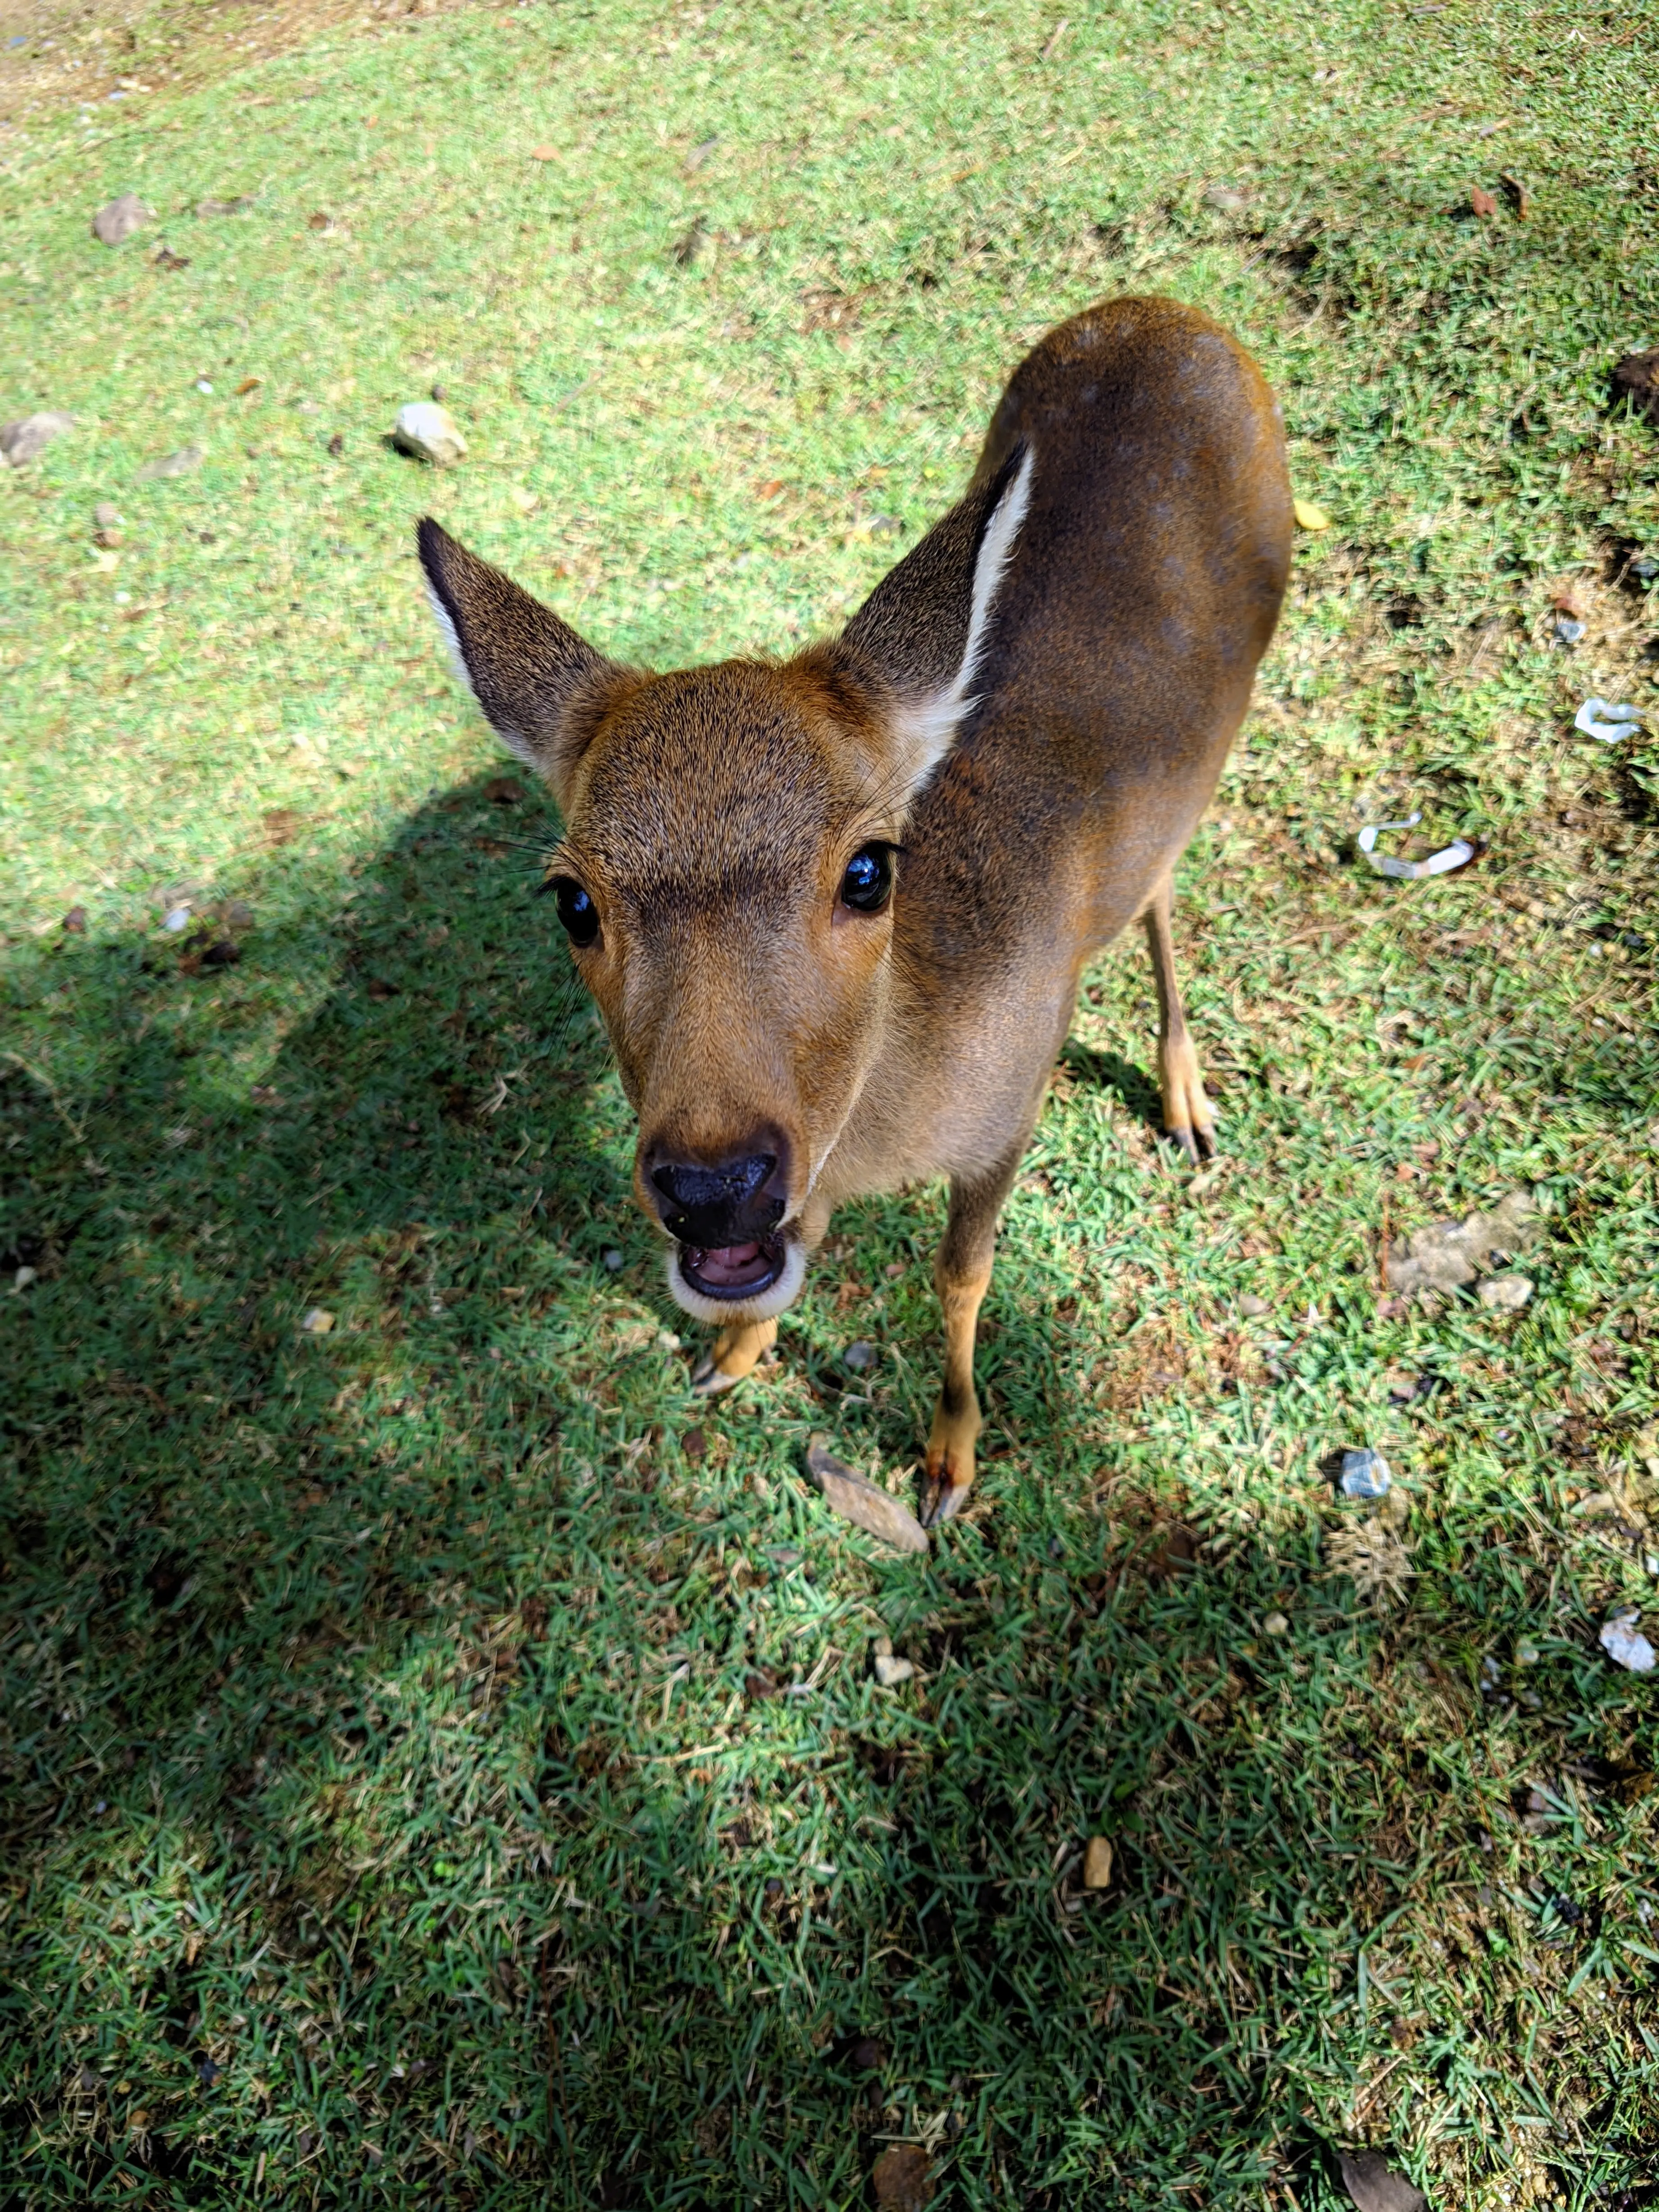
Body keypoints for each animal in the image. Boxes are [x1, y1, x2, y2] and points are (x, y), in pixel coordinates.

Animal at [418, 294, 1300, 1530]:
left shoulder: (1014, 1103)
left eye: (870, 870)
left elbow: (962, 1274)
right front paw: (732, 1358)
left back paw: (1186, 1101)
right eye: (571, 899)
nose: (712, 1188)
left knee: (1170, 879)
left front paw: (947, 1466)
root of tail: (1168, 311)